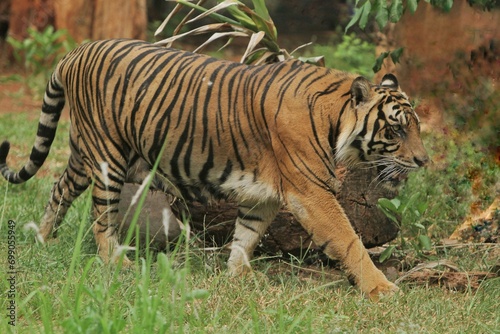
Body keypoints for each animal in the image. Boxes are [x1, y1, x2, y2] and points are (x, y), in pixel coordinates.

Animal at [0, 39, 430, 300]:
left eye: (417, 127)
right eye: (395, 129)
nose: (423, 161)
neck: (336, 118)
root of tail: (78, 49)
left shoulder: (264, 194)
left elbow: (247, 235)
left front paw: (239, 275)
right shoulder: (311, 193)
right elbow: (349, 240)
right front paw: (382, 289)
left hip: (84, 150)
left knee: (59, 187)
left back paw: (43, 238)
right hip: (107, 156)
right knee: (101, 217)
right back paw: (116, 262)